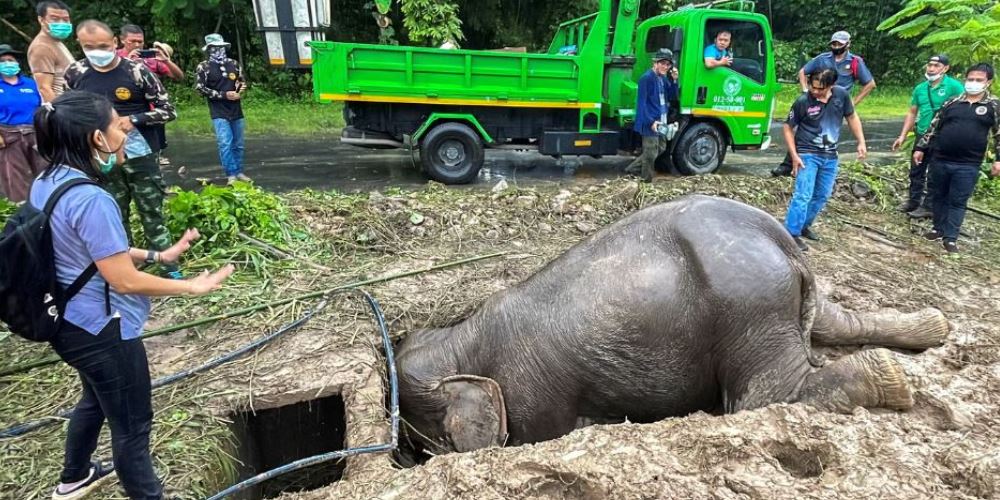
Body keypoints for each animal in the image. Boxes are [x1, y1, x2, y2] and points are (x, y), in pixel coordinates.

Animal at [396, 195, 949, 454]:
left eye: (428, 442)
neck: (461, 337)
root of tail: (780, 237)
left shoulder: (534, 396)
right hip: (779, 298)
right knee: (836, 323)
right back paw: (934, 329)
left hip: (748, 309)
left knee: (763, 397)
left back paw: (891, 378)